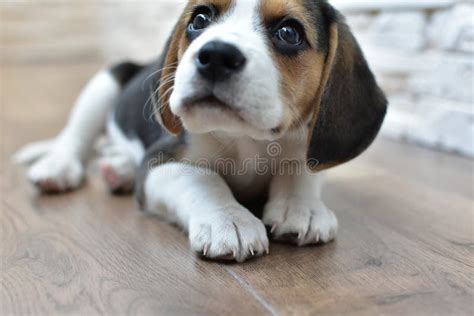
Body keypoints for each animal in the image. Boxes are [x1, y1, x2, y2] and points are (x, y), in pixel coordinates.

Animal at [15, 0, 386, 262]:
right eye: (200, 19)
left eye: (289, 32)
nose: (217, 54)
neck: (248, 140)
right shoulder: (161, 160)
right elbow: (203, 178)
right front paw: (229, 220)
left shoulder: (304, 143)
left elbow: (300, 168)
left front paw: (301, 207)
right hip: (106, 81)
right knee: (75, 136)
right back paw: (59, 167)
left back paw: (118, 170)